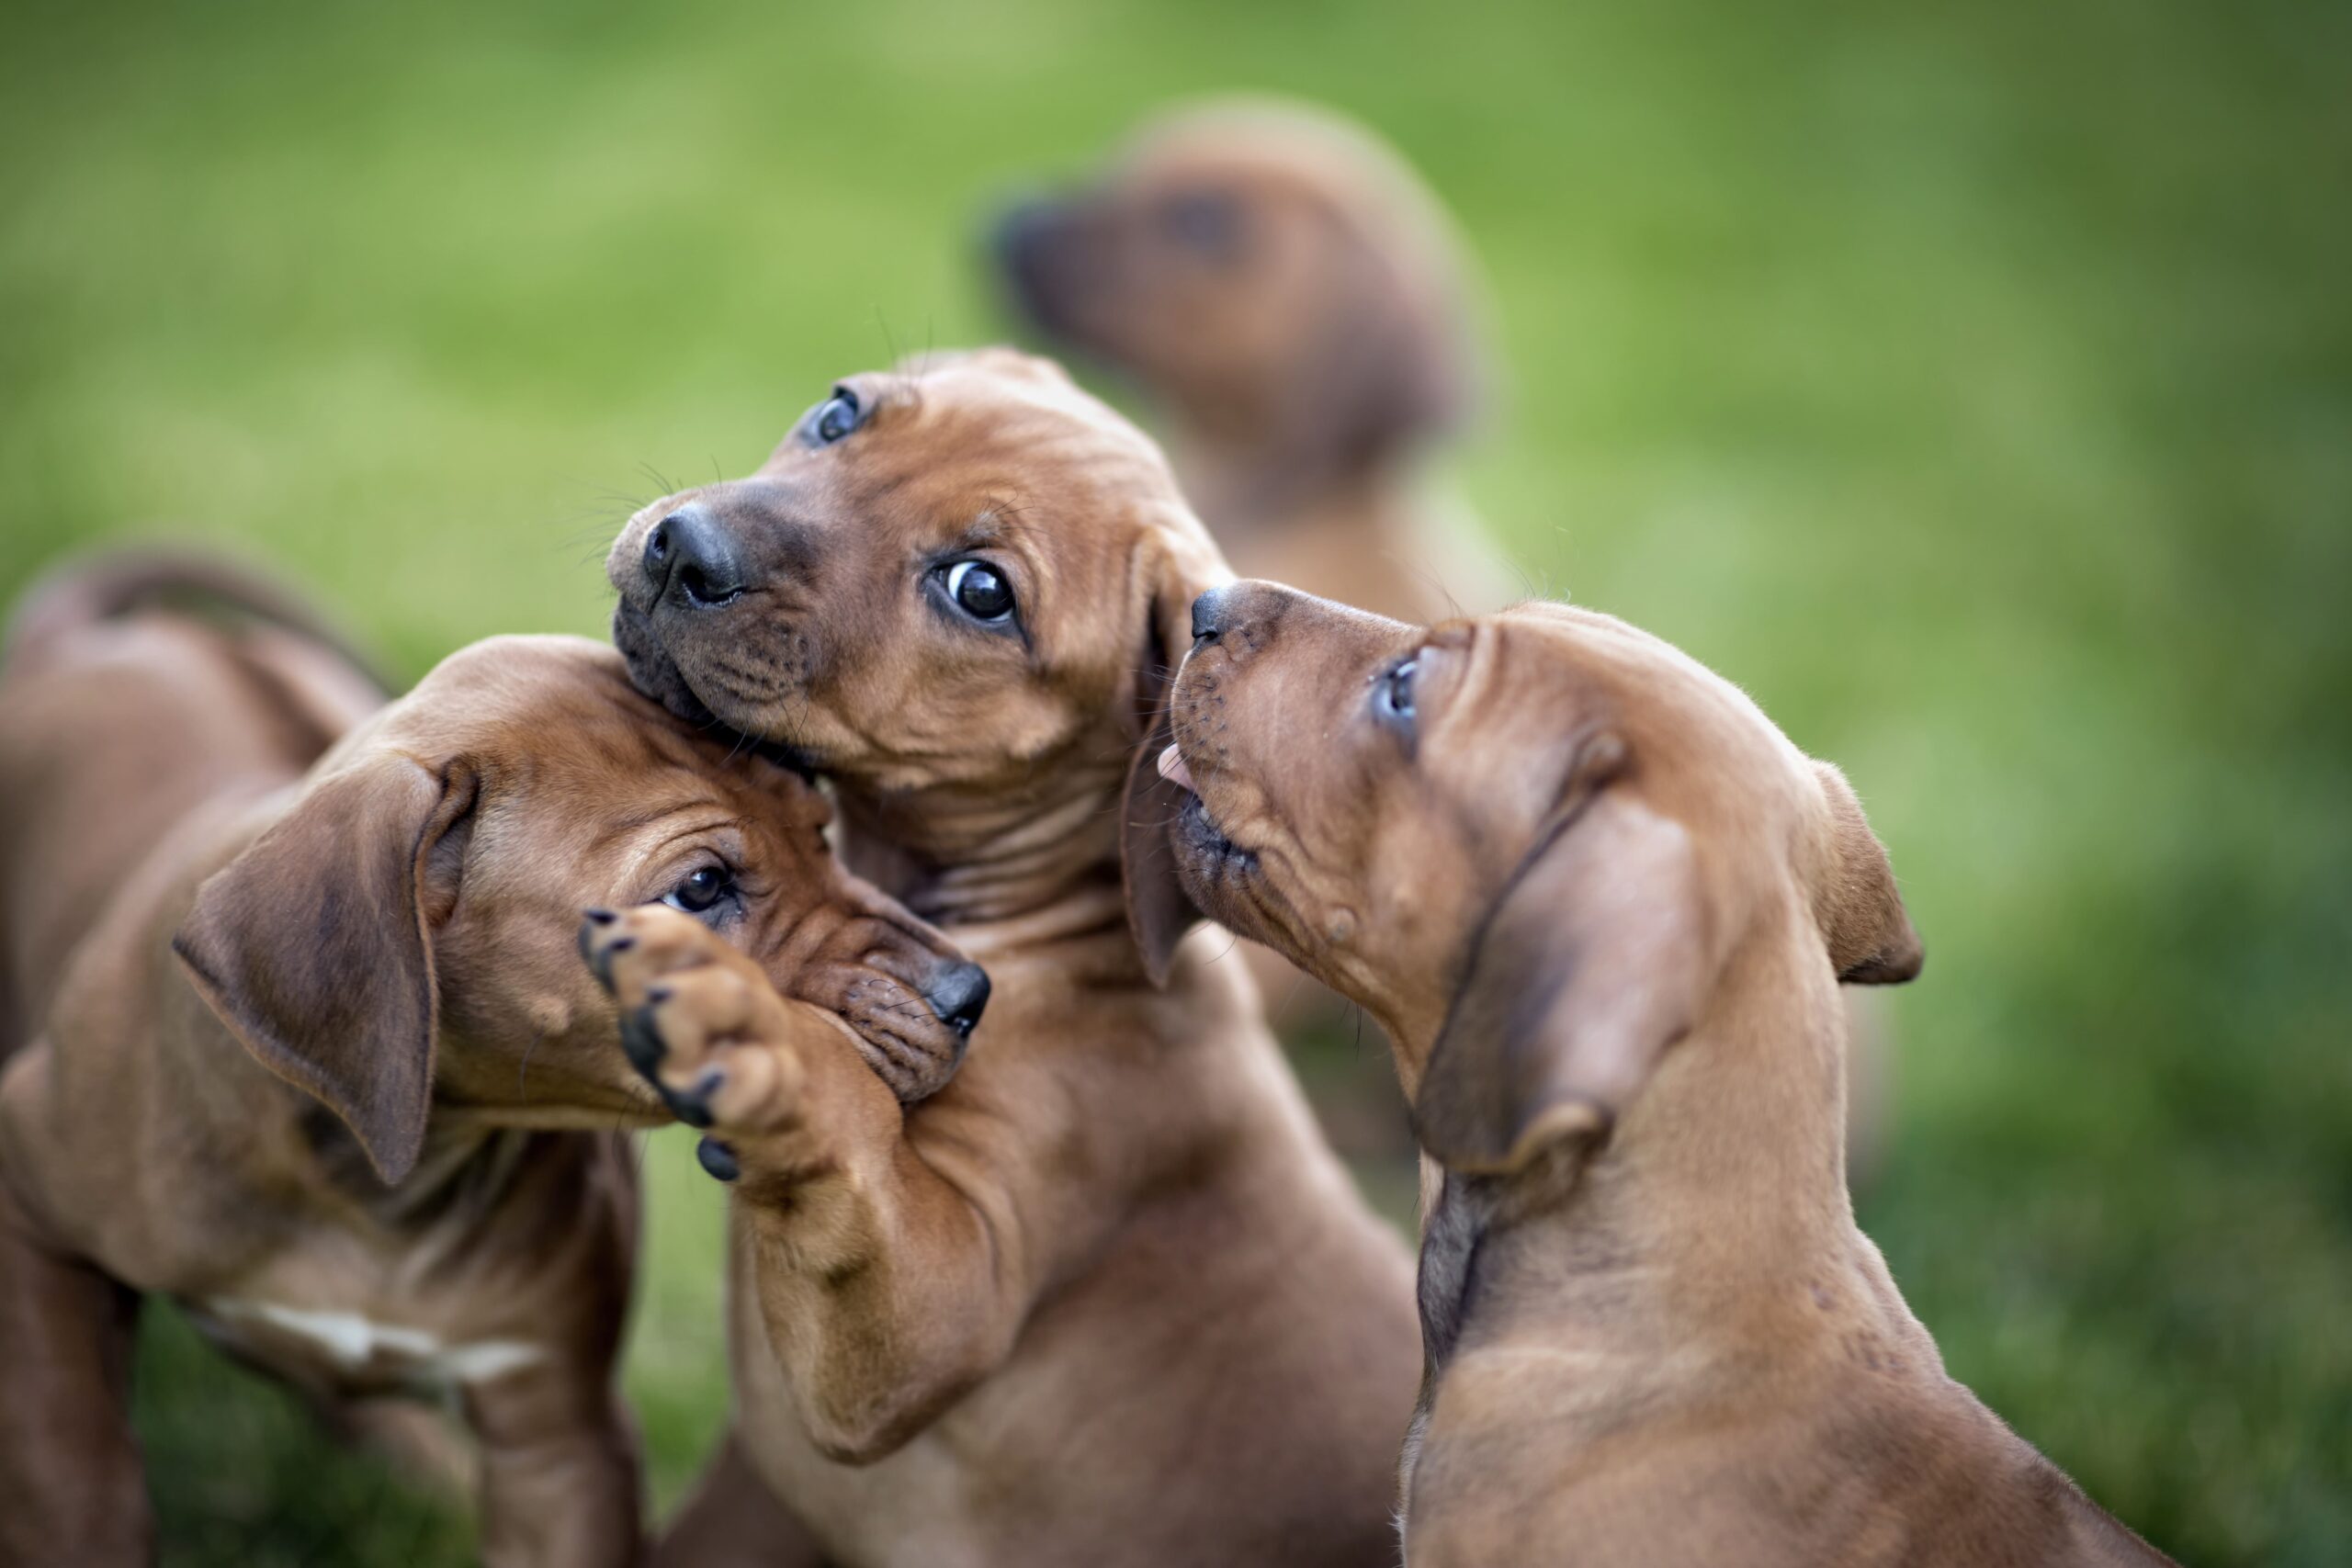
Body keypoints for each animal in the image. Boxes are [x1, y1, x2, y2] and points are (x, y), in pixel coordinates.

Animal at [0, 564, 983, 1568]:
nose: (969, 994)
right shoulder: (31, 1209)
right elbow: (69, 1461)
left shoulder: (556, 1438)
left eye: (820, 827)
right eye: (701, 888)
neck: (393, 1173)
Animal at [597, 352, 1420, 1568]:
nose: (682, 548)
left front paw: (760, 1036)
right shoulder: (758, 1493)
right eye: (839, 414)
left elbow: (850, 1134)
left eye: (980, 590)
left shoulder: (928, 1324)